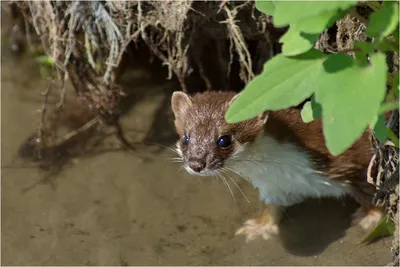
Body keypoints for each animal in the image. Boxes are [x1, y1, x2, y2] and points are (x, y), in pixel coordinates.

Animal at [170, 91, 382, 244]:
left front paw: (371, 217)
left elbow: (371, 190)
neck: (284, 172)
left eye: (224, 140)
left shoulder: (353, 159)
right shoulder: (273, 187)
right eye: (185, 138)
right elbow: (273, 207)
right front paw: (258, 227)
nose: (196, 163)